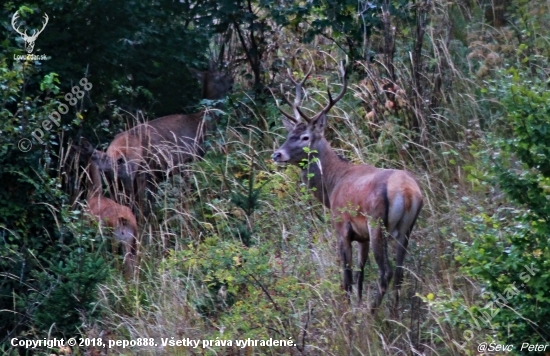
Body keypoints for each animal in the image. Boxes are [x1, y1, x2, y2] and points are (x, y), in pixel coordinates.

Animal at [75, 138, 139, 276]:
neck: (94, 194)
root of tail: (125, 221)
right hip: (132, 242)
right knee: (132, 267)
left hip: (114, 238)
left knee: (118, 265)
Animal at [274, 63, 424, 312]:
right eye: (289, 134)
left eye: (305, 137)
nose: (277, 154)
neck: (333, 184)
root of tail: (408, 193)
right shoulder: (362, 237)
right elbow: (360, 274)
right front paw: (357, 301)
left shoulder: (342, 226)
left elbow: (346, 275)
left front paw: (347, 310)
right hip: (406, 228)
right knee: (400, 272)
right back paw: (394, 311)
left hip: (377, 223)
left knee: (386, 271)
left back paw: (372, 312)